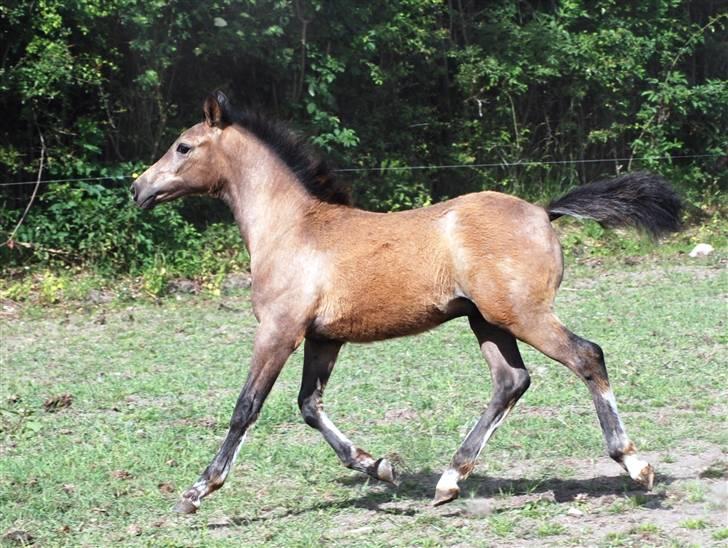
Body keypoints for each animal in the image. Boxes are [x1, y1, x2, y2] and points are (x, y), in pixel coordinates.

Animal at [131, 91, 684, 512]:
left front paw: (197, 491)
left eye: (183, 146)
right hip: (487, 322)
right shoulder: (323, 338)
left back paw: (635, 465)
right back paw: (450, 479)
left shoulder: (279, 330)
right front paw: (378, 466)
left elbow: (246, 407)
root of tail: (544, 212)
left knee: (586, 356)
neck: (294, 230)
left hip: (524, 315)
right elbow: (309, 405)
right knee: (511, 381)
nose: (138, 188)